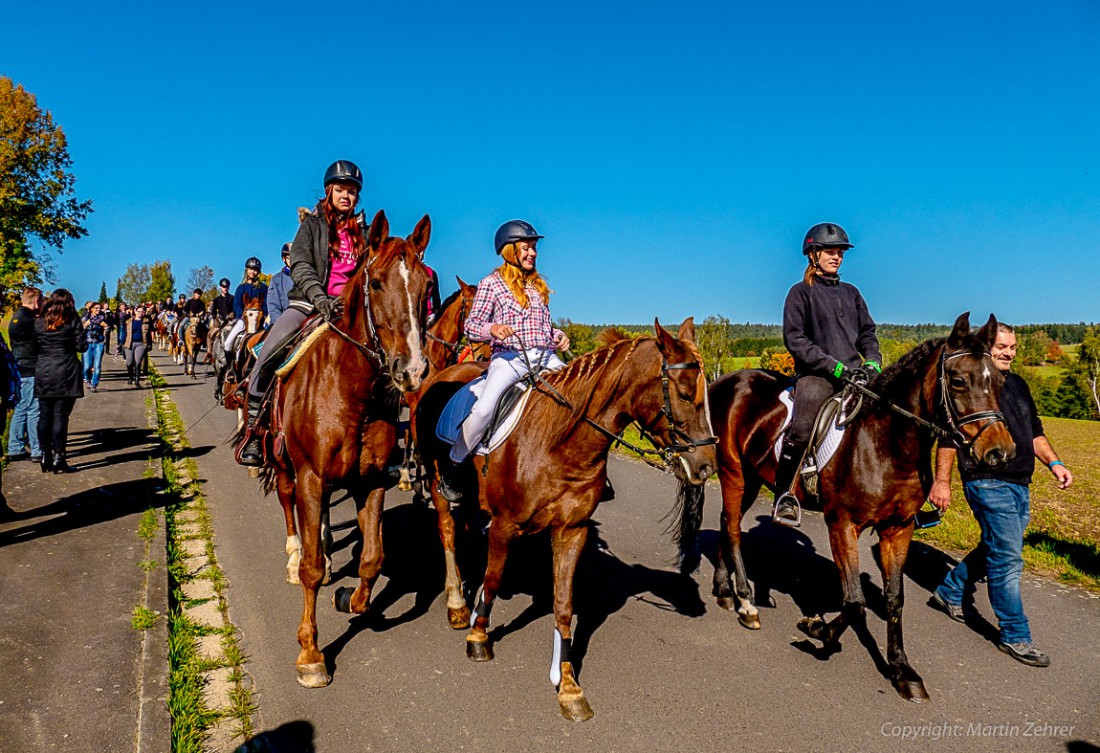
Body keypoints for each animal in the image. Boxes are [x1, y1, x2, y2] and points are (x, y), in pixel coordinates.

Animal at [258, 208, 433, 685]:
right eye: (376, 283)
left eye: (427, 288)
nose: (412, 370)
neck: (350, 391)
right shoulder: (309, 476)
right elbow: (312, 571)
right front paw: (310, 653)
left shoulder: (369, 480)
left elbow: (373, 557)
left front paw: (353, 601)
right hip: (285, 467)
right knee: (288, 507)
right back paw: (293, 551)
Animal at [415, 316, 717, 716]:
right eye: (683, 394)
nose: (706, 466)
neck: (559, 444)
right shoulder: (504, 524)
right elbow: (494, 580)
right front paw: (479, 636)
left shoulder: (572, 530)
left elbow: (563, 606)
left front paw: (568, 685)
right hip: (438, 482)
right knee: (448, 532)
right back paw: (457, 605)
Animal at [704, 312, 1012, 699]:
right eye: (958, 381)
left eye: (999, 380)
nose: (1000, 452)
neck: (887, 444)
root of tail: (726, 381)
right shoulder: (842, 524)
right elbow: (854, 602)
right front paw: (817, 629)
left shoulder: (898, 529)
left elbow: (895, 599)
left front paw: (902, 670)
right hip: (734, 472)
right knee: (731, 528)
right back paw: (746, 603)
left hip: (752, 478)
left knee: (726, 522)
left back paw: (723, 590)